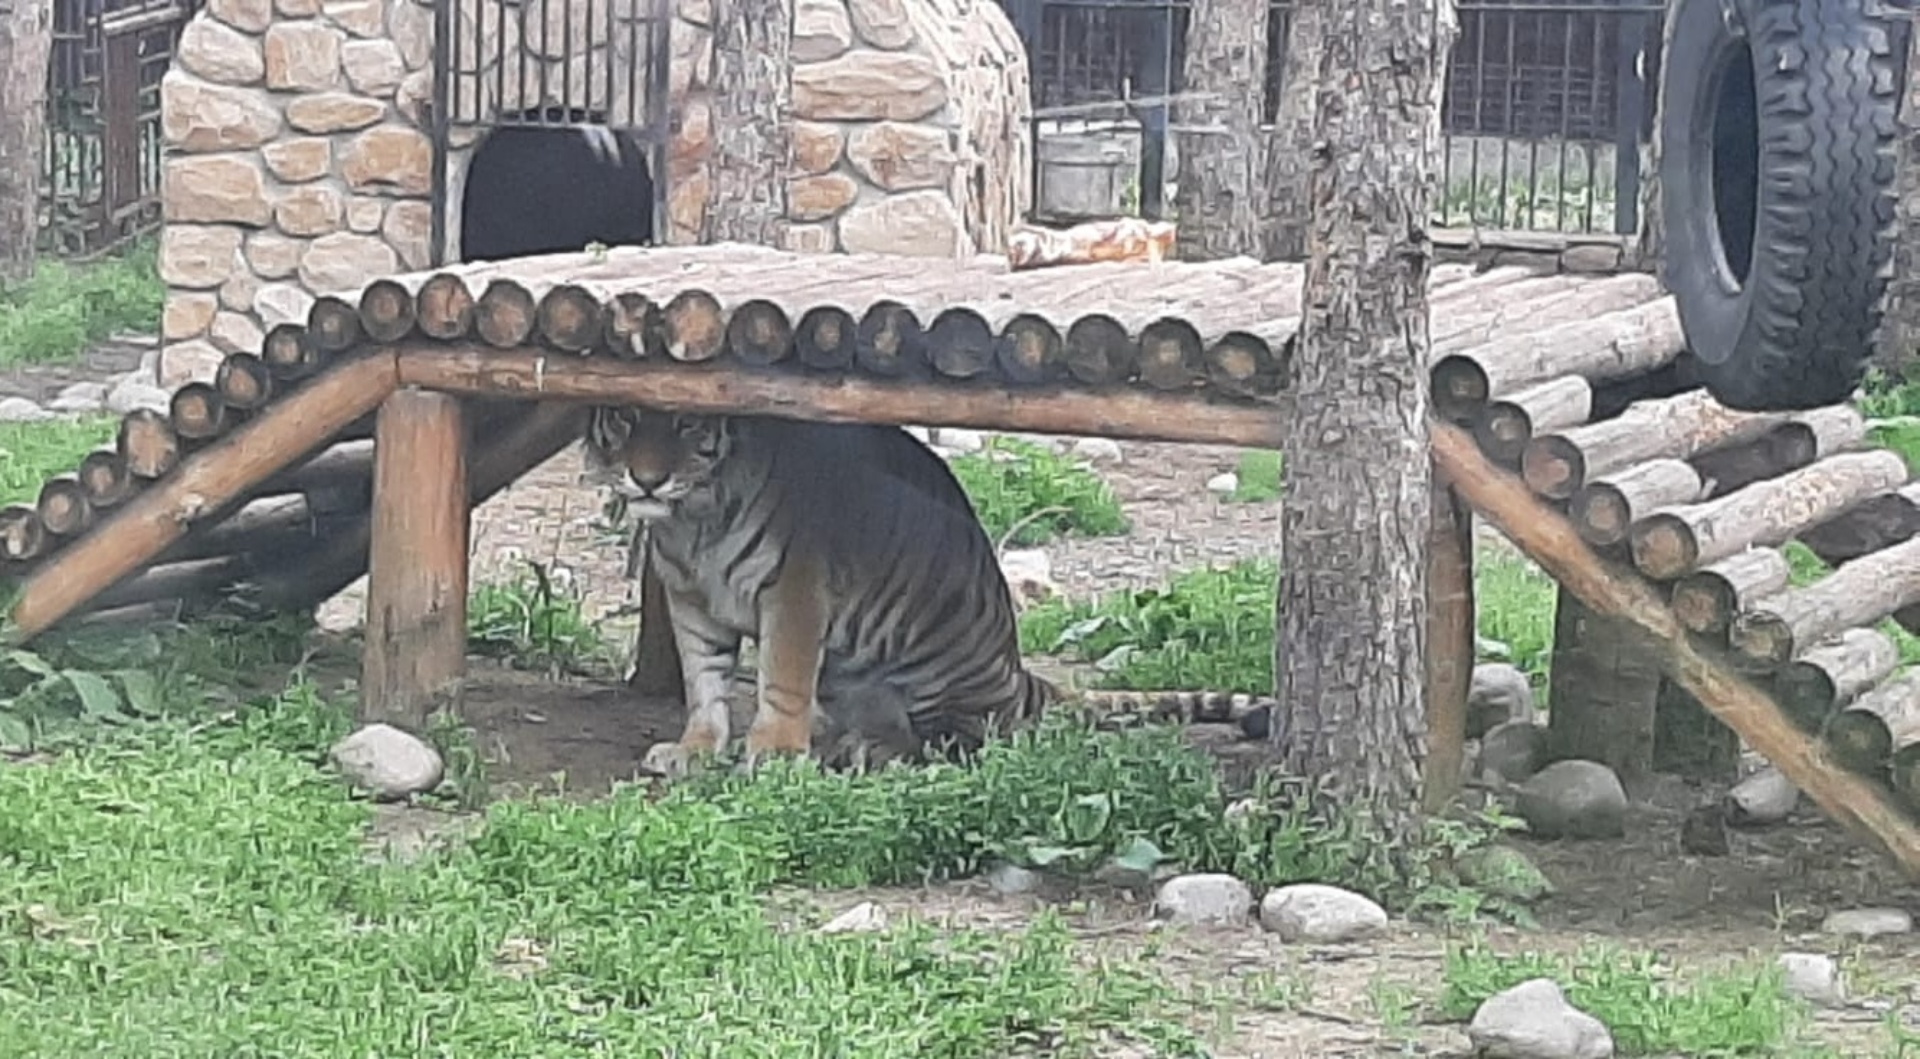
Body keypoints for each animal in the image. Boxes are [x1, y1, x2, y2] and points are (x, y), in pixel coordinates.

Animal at [579, 404, 1274, 778]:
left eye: (684, 421)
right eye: (626, 417)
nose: (645, 480)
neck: (692, 518)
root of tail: (1019, 676)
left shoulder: (795, 590)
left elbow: (781, 677)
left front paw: (773, 752)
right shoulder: (691, 599)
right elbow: (705, 683)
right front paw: (694, 749)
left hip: (936, 667)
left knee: (955, 741)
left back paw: (869, 748)